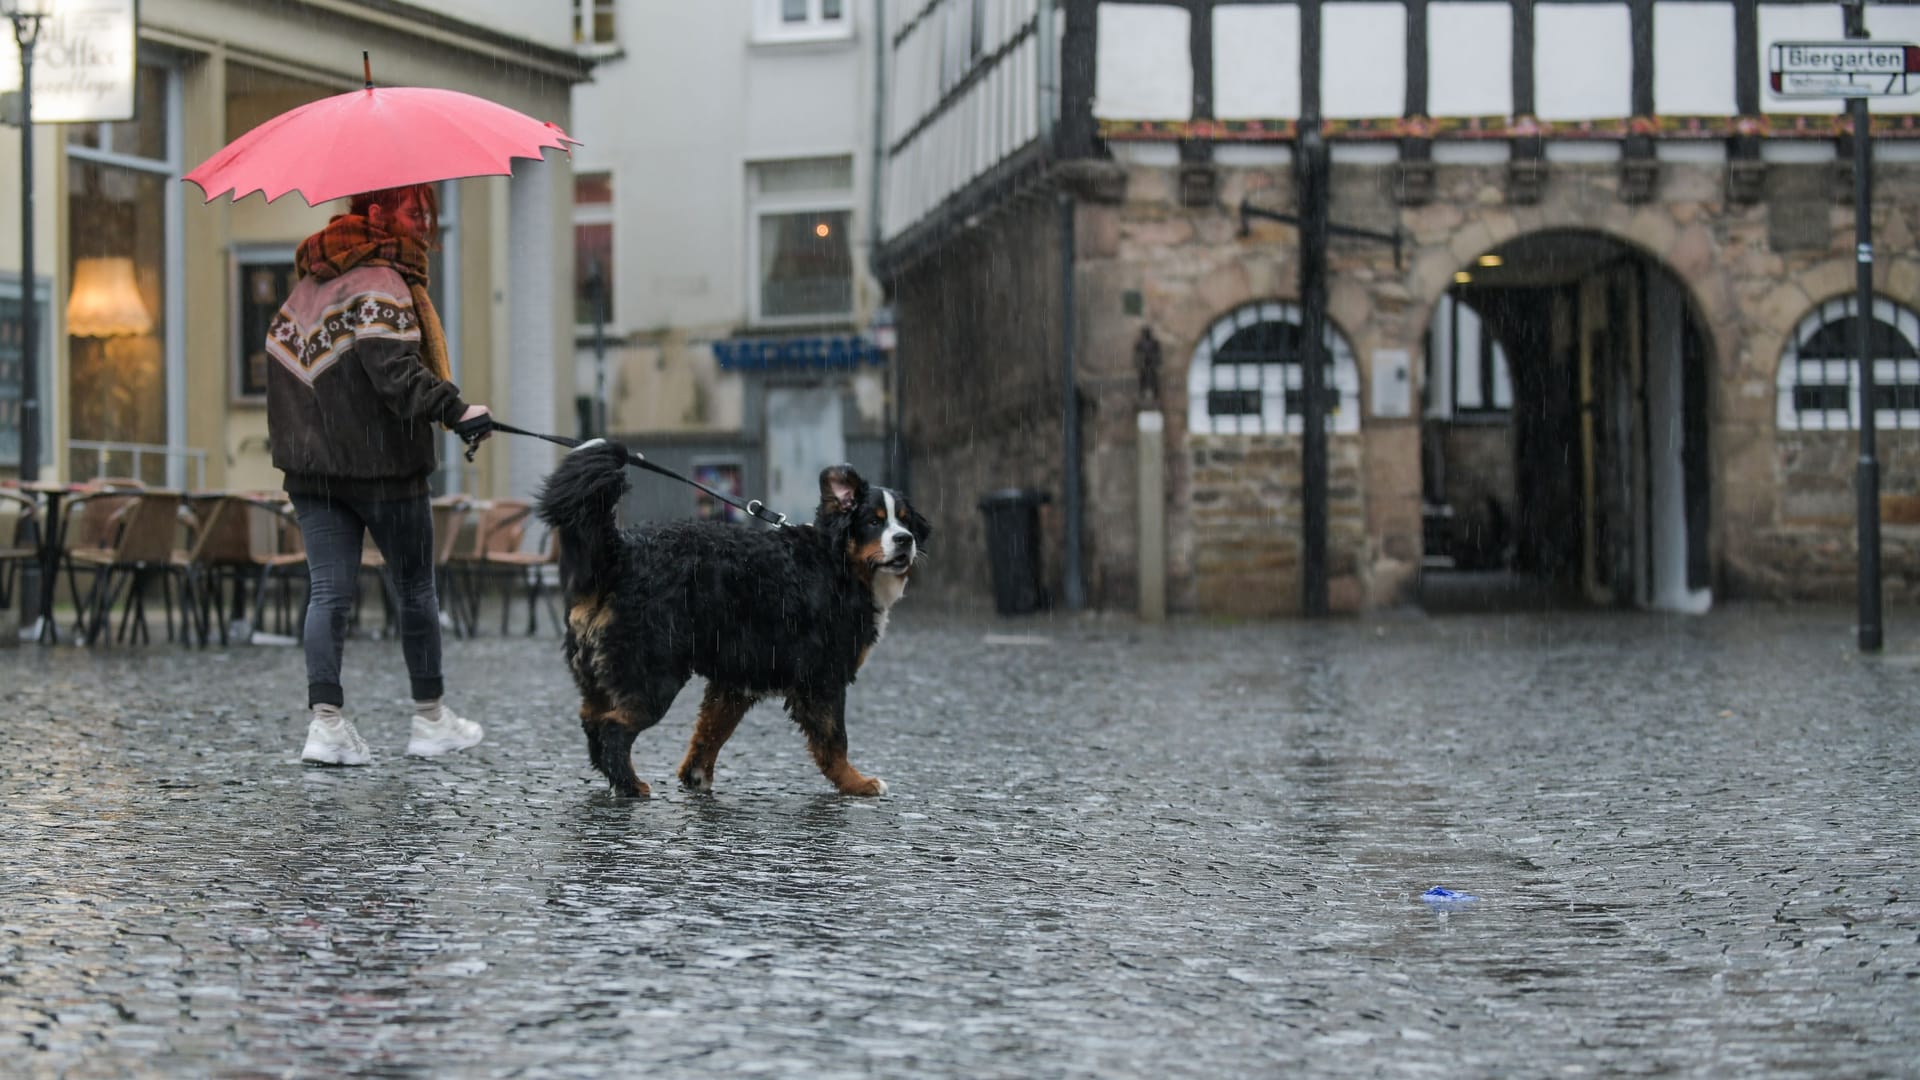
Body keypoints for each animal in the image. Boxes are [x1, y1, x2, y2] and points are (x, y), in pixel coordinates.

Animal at [537, 432, 933, 795]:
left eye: (906, 521)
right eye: (873, 522)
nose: (905, 540)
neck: (838, 565)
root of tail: (621, 552)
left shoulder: (736, 680)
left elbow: (711, 732)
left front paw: (695, 777)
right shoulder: (823, 677)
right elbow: (834, 740)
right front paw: (857, 783)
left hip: (601, 677)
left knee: (593, 723)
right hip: (652, 677)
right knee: (613, 730)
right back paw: (631, 786)